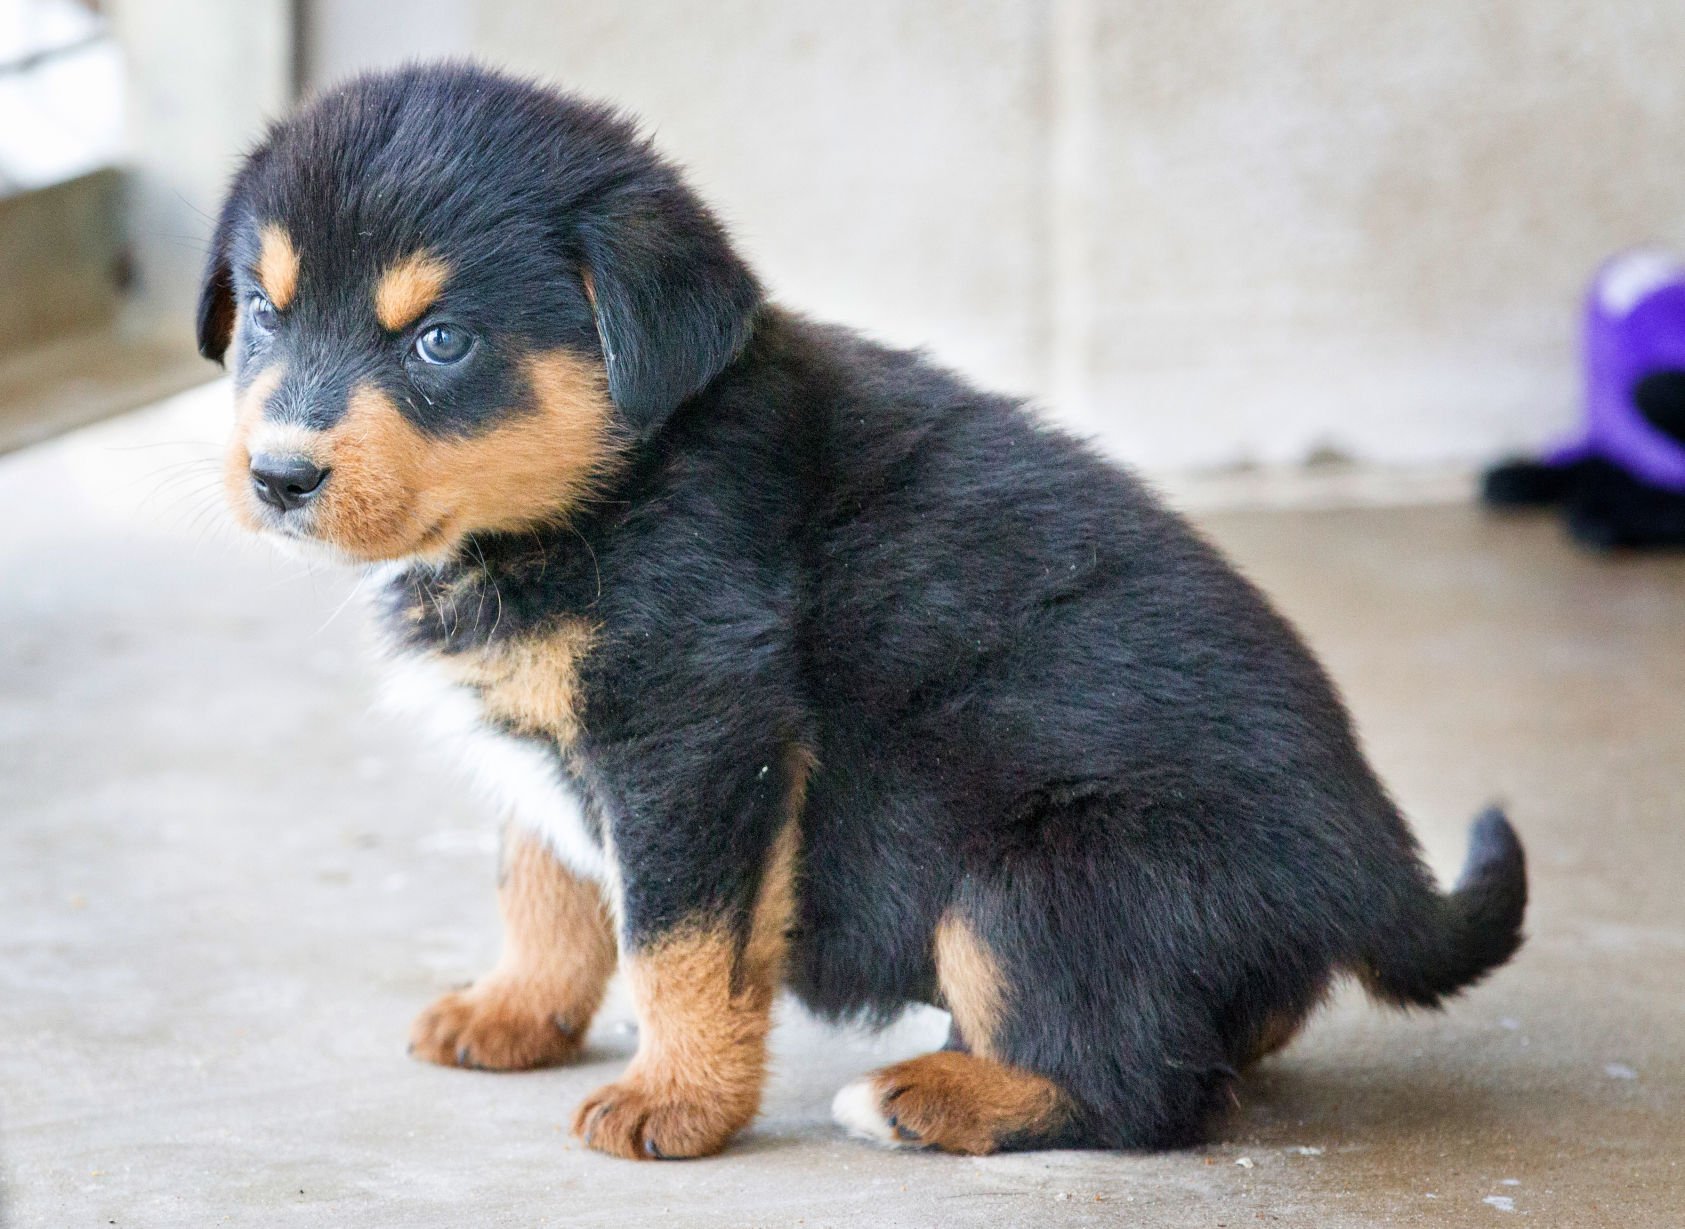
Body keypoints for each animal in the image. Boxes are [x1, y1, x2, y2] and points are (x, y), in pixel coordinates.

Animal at [200, 62, 1529, 1159]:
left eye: (441, 341)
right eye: (264, 311)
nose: (278, 477)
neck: (612, 486)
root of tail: (1375, 872)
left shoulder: (693, 731)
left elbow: (677, 941)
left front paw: (671, 1101)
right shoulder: (554, 736)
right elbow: (547, 883)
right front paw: (514, 1012)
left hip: (1038, 882)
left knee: (1146, 1087)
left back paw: (928, 1095)